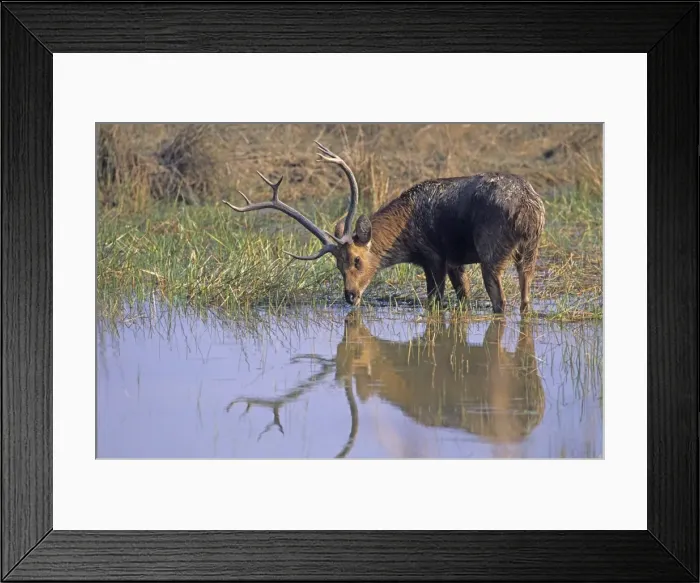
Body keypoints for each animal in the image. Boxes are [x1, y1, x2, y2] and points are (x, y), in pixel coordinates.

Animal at [223, 141, 545, 314]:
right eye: (337, 265)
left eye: (357, 260)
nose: (350, 295)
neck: (406, 237)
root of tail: (529, 208)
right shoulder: (455, 261)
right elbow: (462, 297)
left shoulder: (434, 256)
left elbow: (435, 301)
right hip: (531, 249)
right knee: (525, 295)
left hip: (492, 248)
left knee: (500, 299)